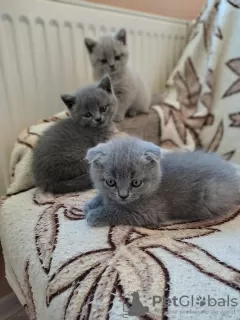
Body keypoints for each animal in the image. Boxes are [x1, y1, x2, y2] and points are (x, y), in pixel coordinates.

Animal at [84, 136, 240, 228]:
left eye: (136, 183)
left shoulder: (146, 213)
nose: (123, 195)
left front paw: (94, 215)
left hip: (212, 196)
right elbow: (104, 196)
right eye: (110, 182)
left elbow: (117, 211)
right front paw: (90, 204)